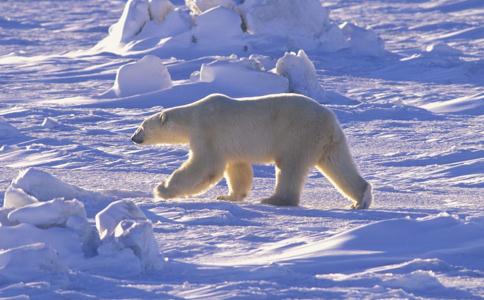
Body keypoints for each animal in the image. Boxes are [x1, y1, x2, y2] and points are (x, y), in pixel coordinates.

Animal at [130, 94, 372, 209]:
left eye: (141, 127)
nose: (133, 138)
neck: (192, 116)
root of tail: (330, 122)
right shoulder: (230, 145)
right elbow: (238, 169)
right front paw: (228, 196)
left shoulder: (207, 131)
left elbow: (205, 166)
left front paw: (161, 189)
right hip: (329, 143)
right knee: (339, 165)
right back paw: (361, 199)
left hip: (297, 135)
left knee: (289, 168)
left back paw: (274, 199)